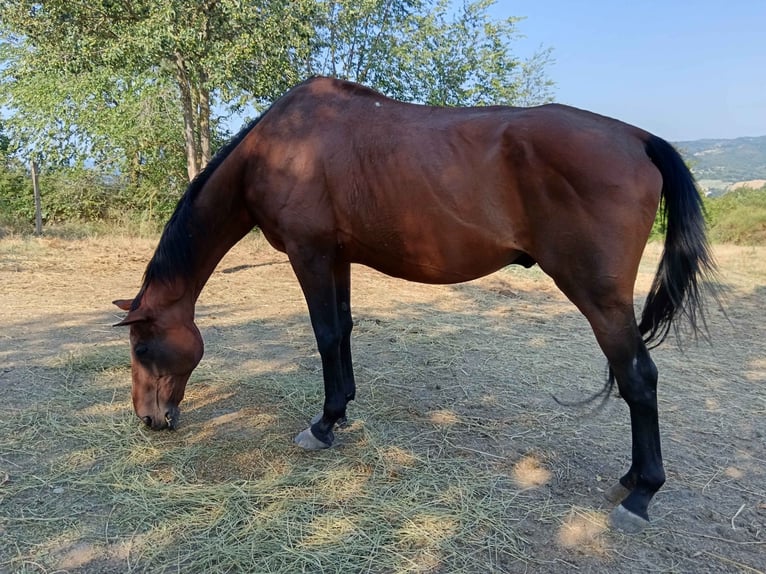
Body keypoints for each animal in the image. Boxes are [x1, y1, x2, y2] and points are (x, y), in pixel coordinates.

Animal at [114, 76, 720, 536]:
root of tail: (638, 137)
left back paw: (641, 493)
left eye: (142, 348)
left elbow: (325, 334)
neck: (280, 148)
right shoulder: (337, 257)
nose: (149, 420)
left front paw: (322, 425)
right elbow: (344, 330)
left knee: (638, 377)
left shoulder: (310, 254)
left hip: (600, 297)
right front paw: (342, 410)